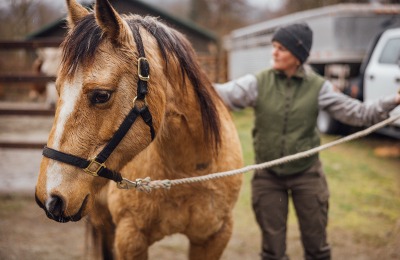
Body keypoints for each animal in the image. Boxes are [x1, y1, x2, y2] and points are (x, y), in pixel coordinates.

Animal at [34, 0, 242, 260]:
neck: (188, 171)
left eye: (101, 95)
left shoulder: (214, 238)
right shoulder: (130, 238)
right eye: (58, 88)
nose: (50, 198)